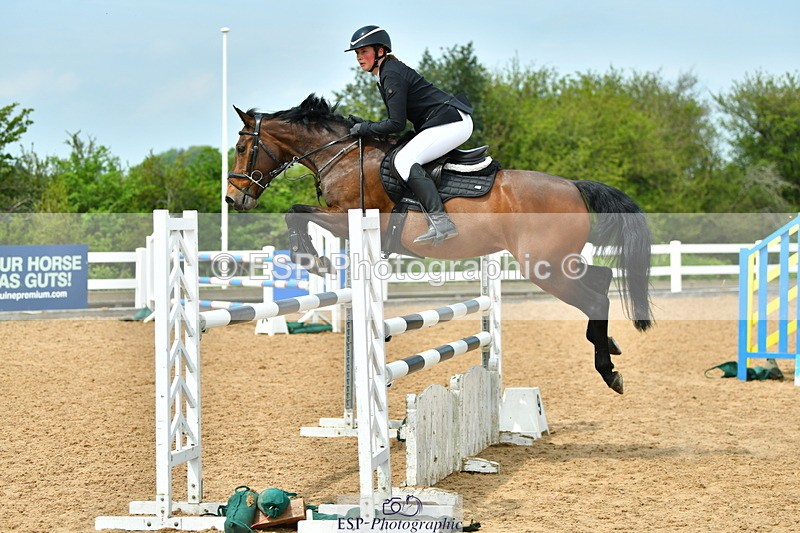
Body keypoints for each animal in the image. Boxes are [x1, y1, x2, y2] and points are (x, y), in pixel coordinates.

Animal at [226, 94, 653, 394]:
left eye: (243, 149)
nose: (233, 199)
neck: (343, 157)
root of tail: (574, 187)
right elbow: (298, 212)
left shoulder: (350, 218)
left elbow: (296, 212)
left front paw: (311, 258)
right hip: (557, 262)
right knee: (601, 280)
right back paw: (609, 343)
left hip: (543, 266)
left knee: (595, 296)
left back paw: (609, 372)